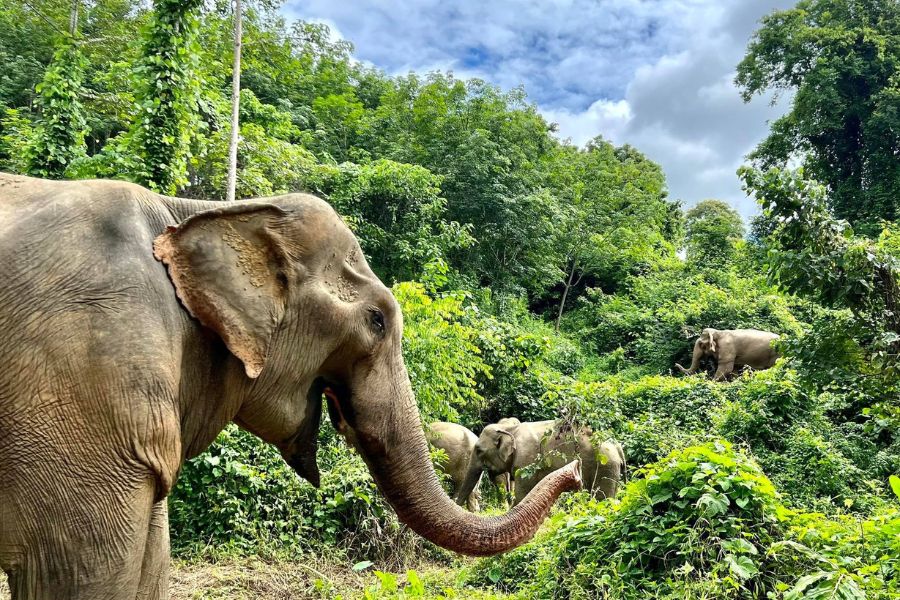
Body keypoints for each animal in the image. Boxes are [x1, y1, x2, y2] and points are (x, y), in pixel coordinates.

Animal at [458, 420, 624, 508]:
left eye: (479, 450)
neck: (509, 429)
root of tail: (617, 446)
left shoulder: (526, 461)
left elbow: (523, 495)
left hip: (606, 467)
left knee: (603, 498)